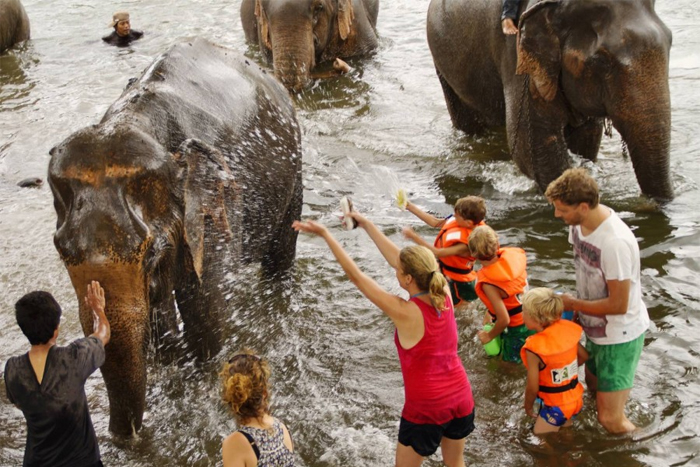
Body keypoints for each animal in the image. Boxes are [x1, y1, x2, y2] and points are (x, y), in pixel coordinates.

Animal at [46, 38, 304, 436]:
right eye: (62, 250)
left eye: (150, 253)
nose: (123, 438)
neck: (137, 121)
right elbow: (159, 320)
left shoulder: (214, 209)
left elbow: (206, 312)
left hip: (293, 170)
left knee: (280, 255)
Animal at [426, 0, 672, 199]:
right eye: (602, 61)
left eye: (670, 43)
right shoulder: (519, 60)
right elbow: (534, 148)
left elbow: (587, 138)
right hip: (443, 68)